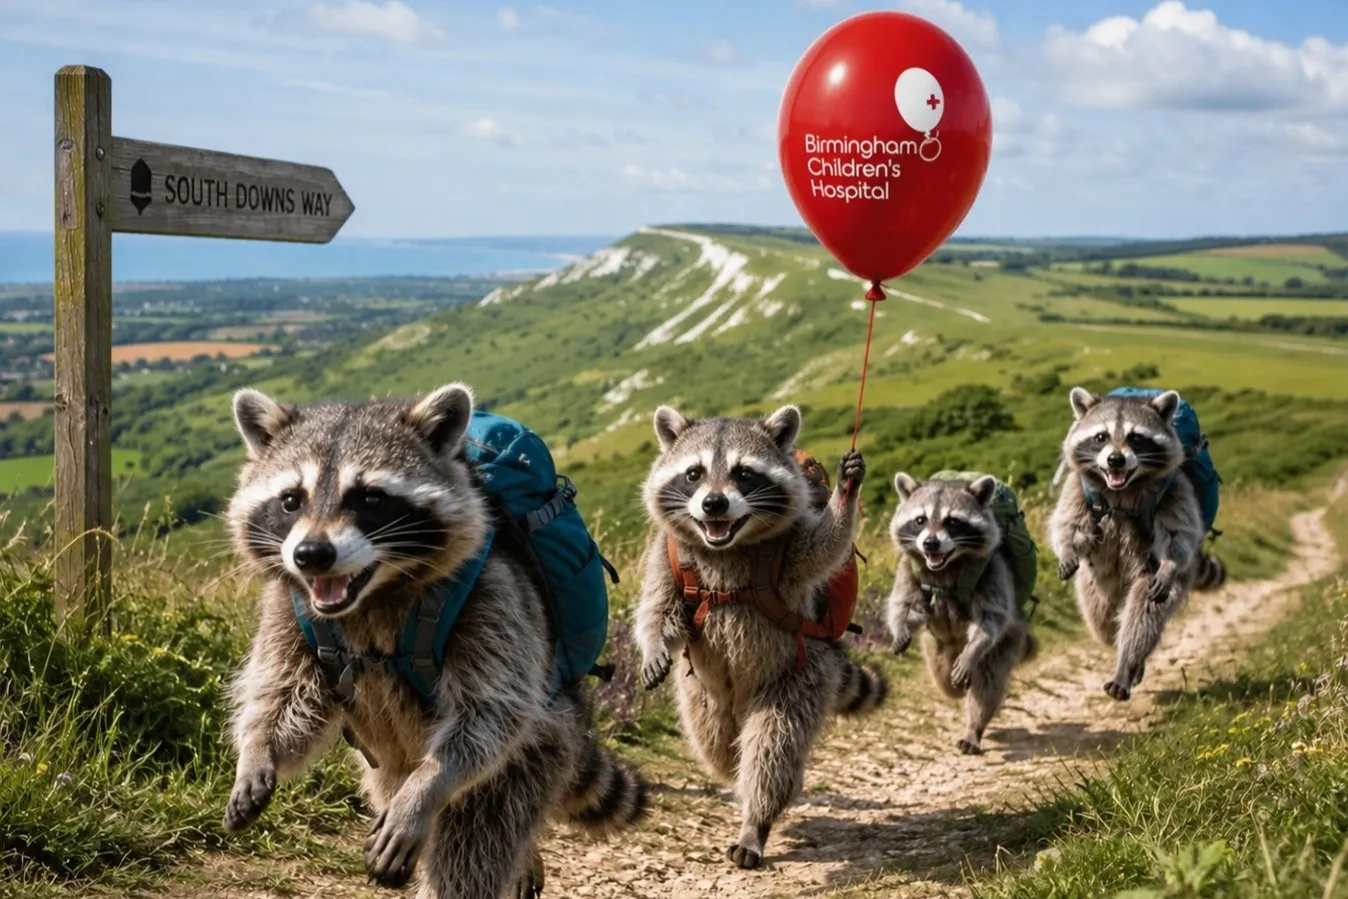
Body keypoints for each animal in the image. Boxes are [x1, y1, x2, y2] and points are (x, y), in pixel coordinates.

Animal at [222, 383, 647, 899]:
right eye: (290, 500)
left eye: (370, 498)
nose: (312, 555)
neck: (373, 595)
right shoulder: (288, 608)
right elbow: (285, 695)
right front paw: (257, 749)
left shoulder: (496, 597)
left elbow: (490, 713)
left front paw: (428, 784)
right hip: (386, 759)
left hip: (544, 744)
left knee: (476, 837)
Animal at [635, 404, 887, 870]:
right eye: (694, 473)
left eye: (744, 474)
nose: (714, 503)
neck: (724, 546)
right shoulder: (665, 552)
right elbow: (656, 605)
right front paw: (653, 644)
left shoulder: (790, 549)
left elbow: (824, 548)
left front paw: (845, 496)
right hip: (702, 696)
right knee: (715, 744)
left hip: (802, 673)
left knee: (773, 746)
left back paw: (756, 820)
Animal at [885, 474, 1034, 755]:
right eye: (920, 520)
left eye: (952, 521)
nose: (930, 543)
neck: (946, 565)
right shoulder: (908, 568)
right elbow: (905, 603)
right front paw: (900, 628)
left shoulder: (993, 568)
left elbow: (991, 617)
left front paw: (972, 650)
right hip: (935, 649)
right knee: (945, 682)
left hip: (1008, 642)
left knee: (987, 684)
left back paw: (974, 728)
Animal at [1050, 387, 1226, 702]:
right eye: (1101, 437)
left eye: (1136, 437)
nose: (1115, 460)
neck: (1122, 488)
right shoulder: (1078, 487)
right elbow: (1068, 522)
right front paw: (1068, 548)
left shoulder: (1175, 488)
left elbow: (1178, 533)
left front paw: (1169, 562)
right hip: (1097, 582)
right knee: (1101, 618)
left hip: (1160, 575)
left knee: (1144, 611)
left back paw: (1129, 664)